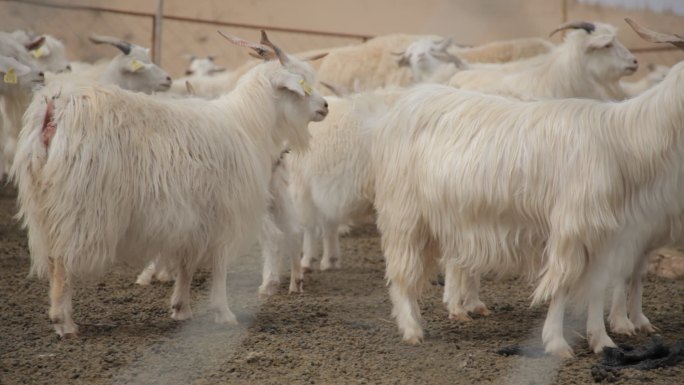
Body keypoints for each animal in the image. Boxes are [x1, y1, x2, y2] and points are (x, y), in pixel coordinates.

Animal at [12, 30, 328, 336]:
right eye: (302, 84)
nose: (325, 106)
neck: (248, 125)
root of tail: (55, 108)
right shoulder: (223, 212)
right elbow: (219, 264)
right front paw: (223, 312)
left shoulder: (195, 219)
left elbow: (187, 263)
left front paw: (181, 308)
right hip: (80, 207)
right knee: (61, 261)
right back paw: (64, 322)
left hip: (44, 204)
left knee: (52, 257)